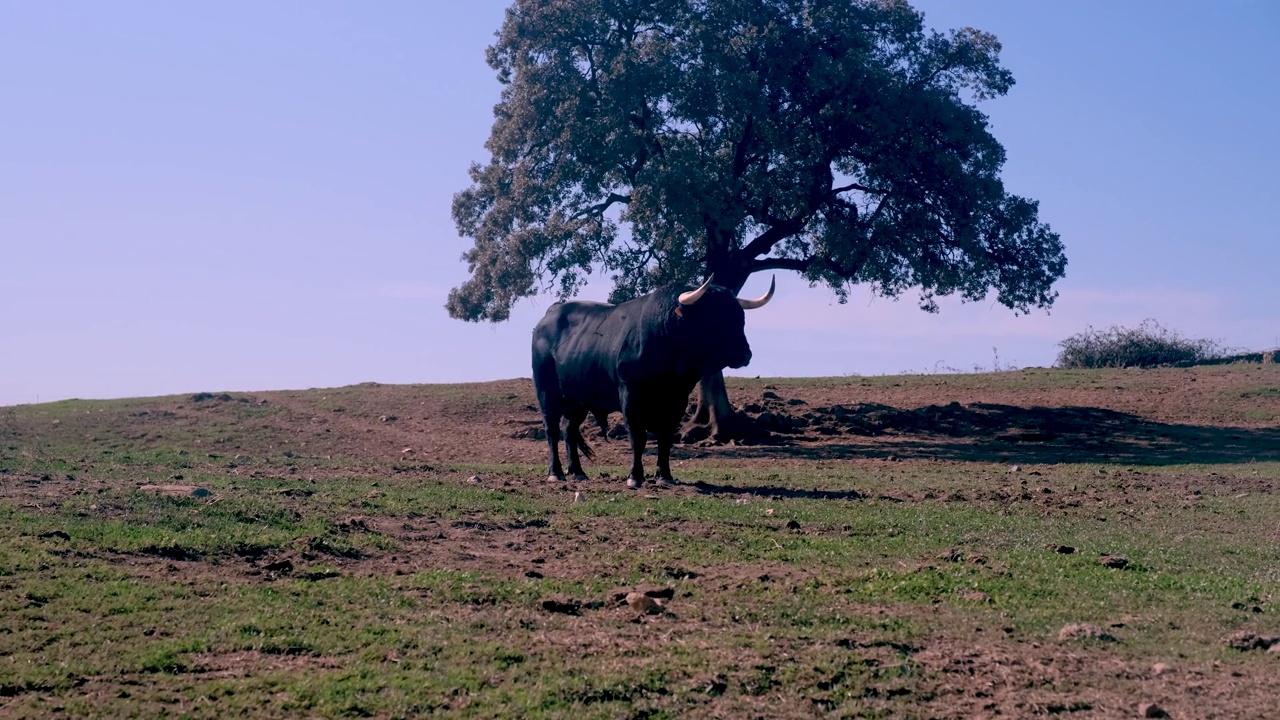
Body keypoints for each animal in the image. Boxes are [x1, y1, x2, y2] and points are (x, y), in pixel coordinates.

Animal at [527, 275, 768, 486]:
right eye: (714, 318)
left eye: (740, 318)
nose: (744, 354)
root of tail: (550, 315)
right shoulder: (630, 395)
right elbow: (638, 437)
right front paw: (635, 476)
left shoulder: (677, 399)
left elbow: (665, 437)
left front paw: (665, 475)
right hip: (547, 392)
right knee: (552, 429)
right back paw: (556, 472)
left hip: (577, 399)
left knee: (569, 429)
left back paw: (577, 472)